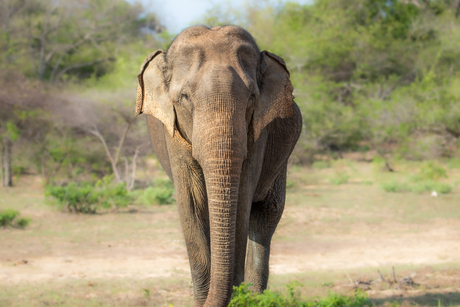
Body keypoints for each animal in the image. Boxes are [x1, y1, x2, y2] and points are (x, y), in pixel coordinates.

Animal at [136, 26, 302, 307]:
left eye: (252, 98)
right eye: (185, 97)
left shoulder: (257, 133)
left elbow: (241, 202)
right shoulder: (174, 135)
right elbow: (191, 203)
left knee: (265, 217)